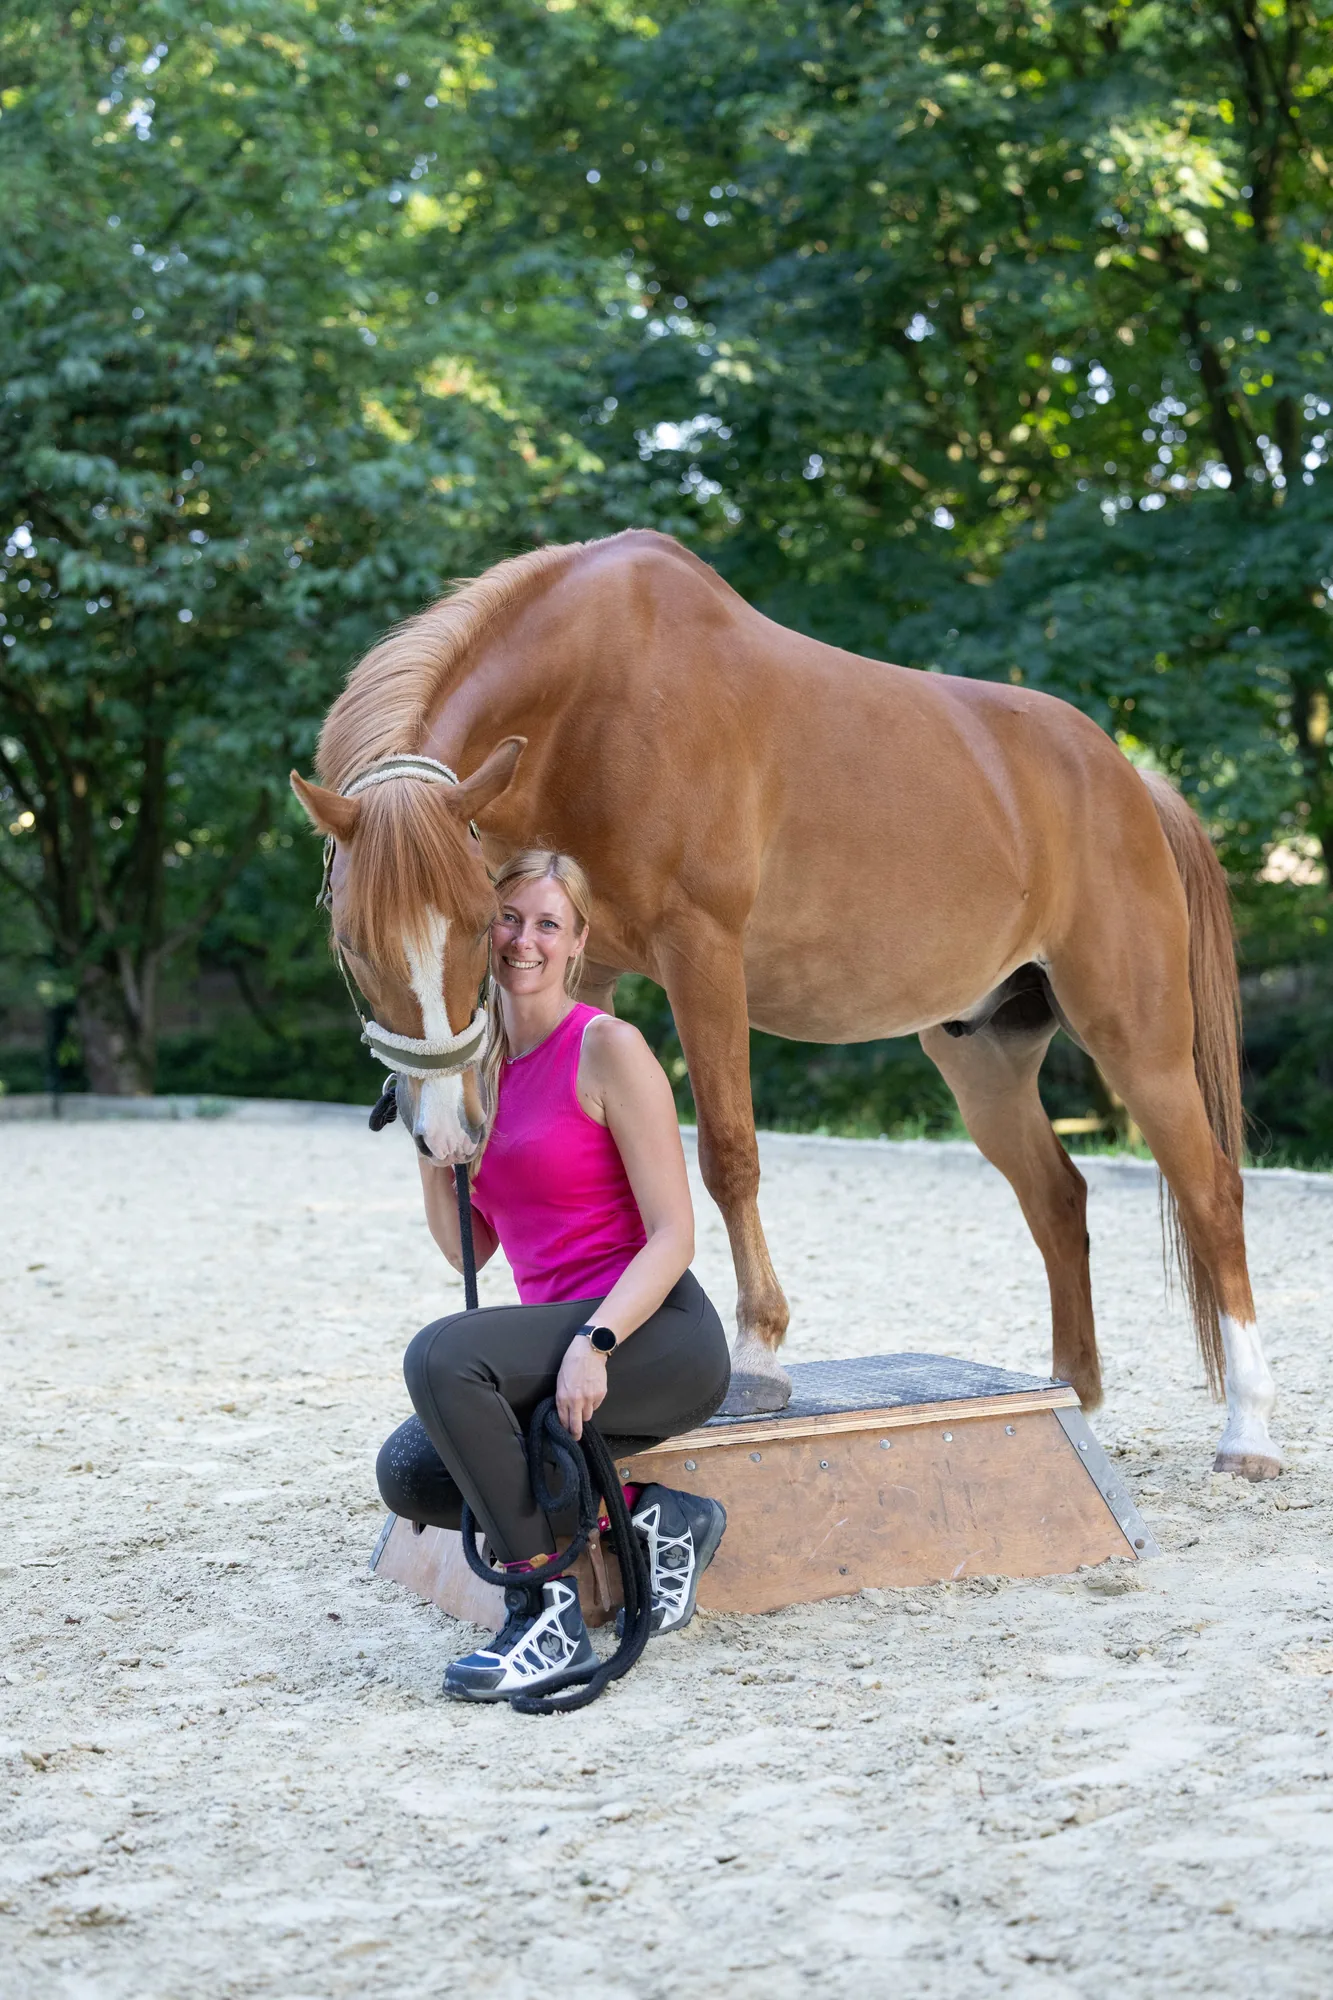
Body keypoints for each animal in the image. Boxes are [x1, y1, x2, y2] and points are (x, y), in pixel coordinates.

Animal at [291, 527, 1280, 1481]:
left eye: (473, 924)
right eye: (350, 940)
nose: (445, 1133)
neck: (593, 698)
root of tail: (1130, 782)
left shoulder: (702, 955)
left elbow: (727, 1155)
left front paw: (758, 1357)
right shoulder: (586, 969)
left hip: (1136, 1037)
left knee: (1211, 1192)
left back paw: (1247, 1431)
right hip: (984, 1058)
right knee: (1058, 1198)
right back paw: (1072, 1390)